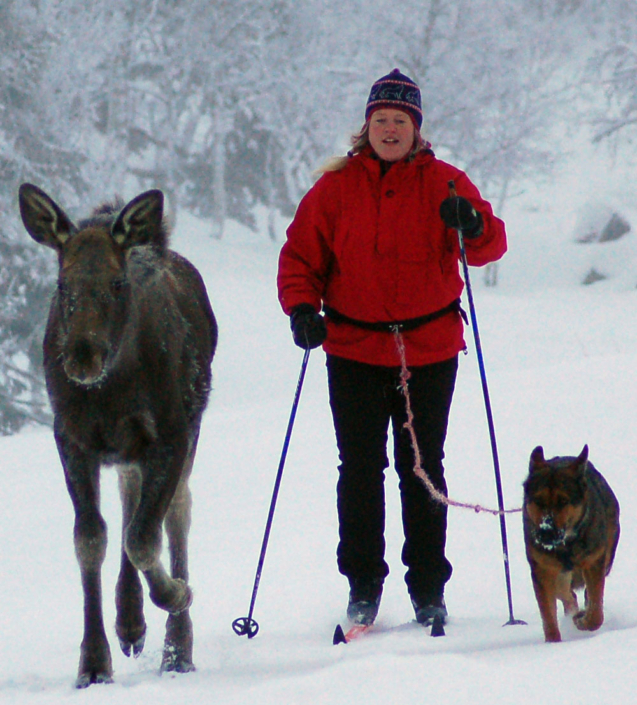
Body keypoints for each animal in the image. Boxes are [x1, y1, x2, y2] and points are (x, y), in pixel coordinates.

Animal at [520, 448, 616, 640]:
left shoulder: (594, 562)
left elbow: (596, 612)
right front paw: (554, 641)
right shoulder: (543, 571)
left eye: (563, 501)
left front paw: (584, 620)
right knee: (567, 594)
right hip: (557, 576)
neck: (566, 545)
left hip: (607, 556)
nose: (546, 532)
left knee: (587, 594)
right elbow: (548, 617)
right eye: (538, 501)